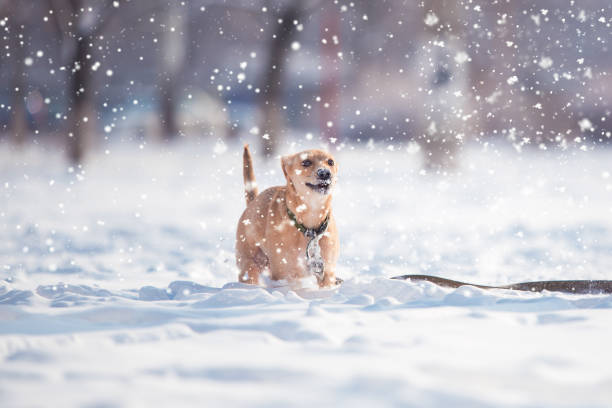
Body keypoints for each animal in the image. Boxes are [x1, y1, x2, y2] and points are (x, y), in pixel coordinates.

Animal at [235, 145, 340, 288]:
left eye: (330, 162)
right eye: (306, 162)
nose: (325, 173)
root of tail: (252, 202)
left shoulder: (327, 271)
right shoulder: (283, 274)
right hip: (249, 264)